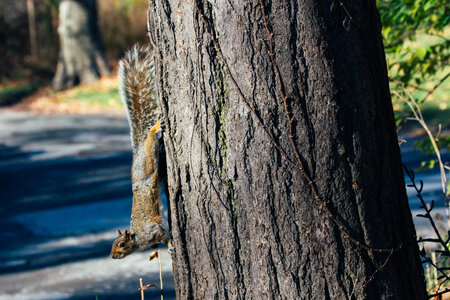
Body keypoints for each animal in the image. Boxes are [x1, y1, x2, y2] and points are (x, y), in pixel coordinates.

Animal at [110, 44, 171, 260]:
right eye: (113, 244)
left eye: (121, 244)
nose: (112, 256)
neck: (138, 239)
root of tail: (137, 153)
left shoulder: (154, 230)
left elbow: (164, 235)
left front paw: (171, 246)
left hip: (149, 159)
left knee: (151, 137)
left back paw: (155, 128)